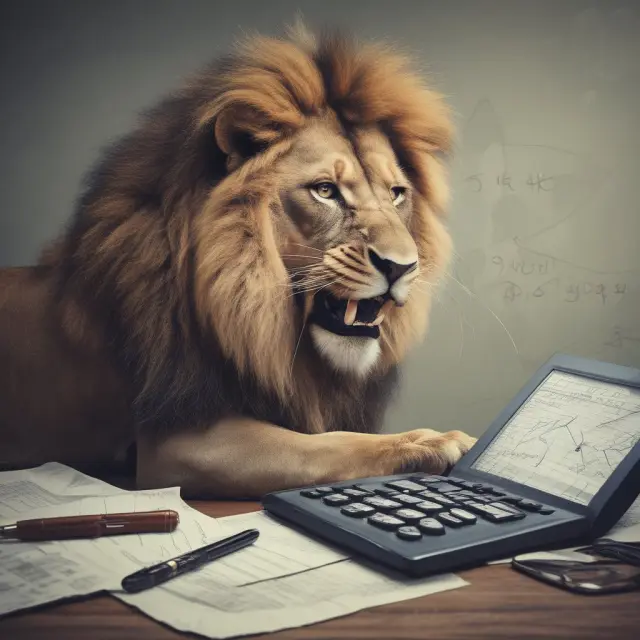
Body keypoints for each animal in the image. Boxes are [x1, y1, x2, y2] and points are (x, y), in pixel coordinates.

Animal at [0, 25, 476, 498]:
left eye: (397, 194)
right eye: (325, 190)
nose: (402, 267)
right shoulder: (171, 443)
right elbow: (323, 445)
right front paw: (432, 441)